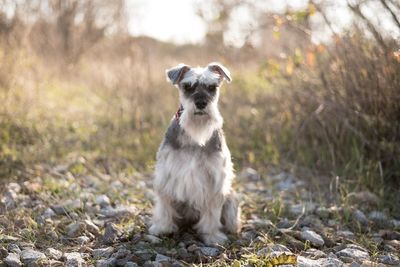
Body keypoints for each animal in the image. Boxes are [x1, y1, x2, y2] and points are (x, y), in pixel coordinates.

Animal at [149, 62, 241, 245]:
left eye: (212, 87)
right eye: (187, 86)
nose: (200, 103)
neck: (195, 136)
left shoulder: (214, 180)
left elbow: (212, 212)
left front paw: (212, 235)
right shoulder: (166, 175)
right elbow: (164, 204)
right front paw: (163, 228)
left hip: (231, 198)